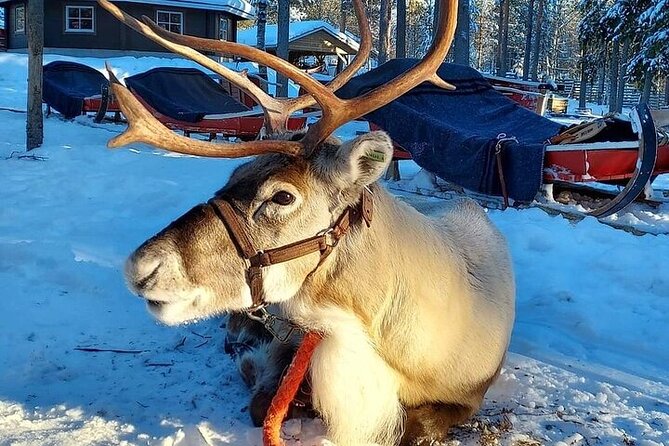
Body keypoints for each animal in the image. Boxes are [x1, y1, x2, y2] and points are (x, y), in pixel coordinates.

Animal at [97, 0, 516, 444]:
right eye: (232, 175)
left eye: (282, 196)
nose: (140, 267)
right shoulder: (295, 340)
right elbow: (262, 399)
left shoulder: (468, 395)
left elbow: (418, 426)